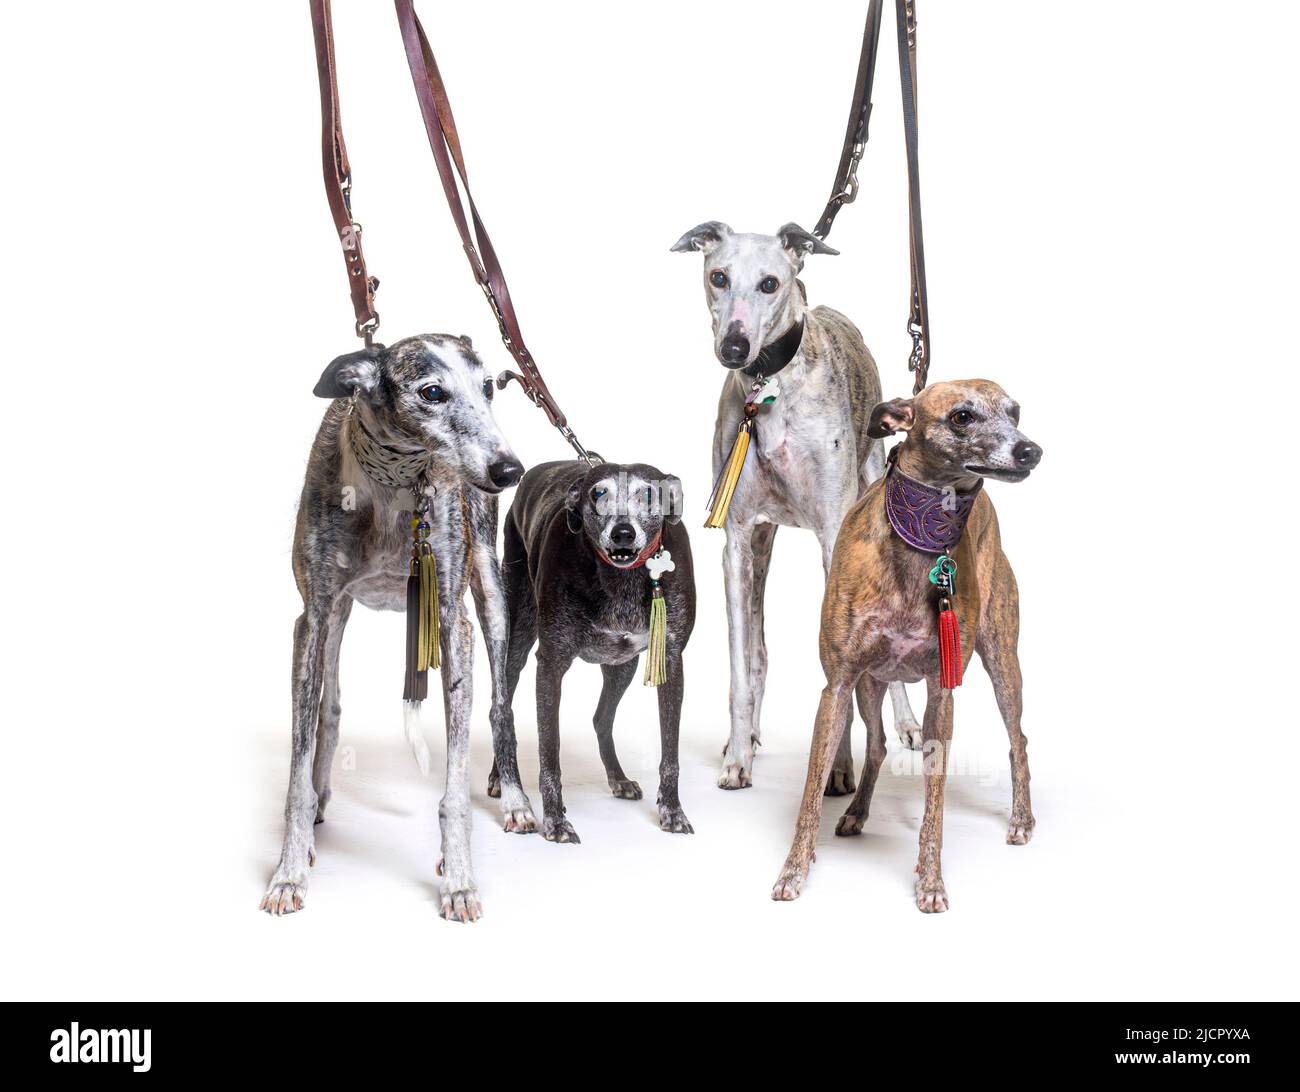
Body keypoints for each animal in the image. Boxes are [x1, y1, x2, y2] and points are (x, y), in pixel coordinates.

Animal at [262, 330, 533, 920]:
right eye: (431, 392)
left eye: (487, 387)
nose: (509, 471)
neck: (393, 487)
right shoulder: (313, 616)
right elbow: (297, 769)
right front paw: (289, 873)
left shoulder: (453, 623)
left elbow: (454, 788)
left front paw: (459, 881)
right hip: (338, 617)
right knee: (329, 708)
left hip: (492, 594)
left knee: (501, 705)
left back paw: (518, 800)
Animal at [488, 457, 696, 842]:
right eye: (599, 494)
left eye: (649, 494)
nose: (623, 533)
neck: (620, 579)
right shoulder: (550, 664)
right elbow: (549, 753)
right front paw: (555, 821)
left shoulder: (671, 661)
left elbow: (671, 753)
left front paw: (672, 811)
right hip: (515, 638)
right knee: (502, 709)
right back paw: (500, 778)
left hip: (623, 665)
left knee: (602, 718)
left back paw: (618, 778)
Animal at [670, 219, 925, 795]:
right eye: (718, 276)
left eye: (770, 284)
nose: (735, 347)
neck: (770, 390)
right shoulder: (738, 541)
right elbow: (741, 665)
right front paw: (737, 758)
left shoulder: (835, 540)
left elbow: (847, 671)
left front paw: (840, 767)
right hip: (763, 548)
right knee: (759, 654)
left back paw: (907, 724)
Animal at [774, 379, 1040, 909]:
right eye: (962, 416)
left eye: (1016, 413)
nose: (1031, 451)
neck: (919, 548)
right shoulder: (838, 685)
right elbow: (811, 790)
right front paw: (794, 869)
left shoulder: (942, 692)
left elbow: (934, 804)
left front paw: (931, 881)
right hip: (870, 684)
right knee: (876, 745)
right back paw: (857, 812)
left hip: (1003, 661)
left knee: (1017, 739)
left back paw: (1021, 819)